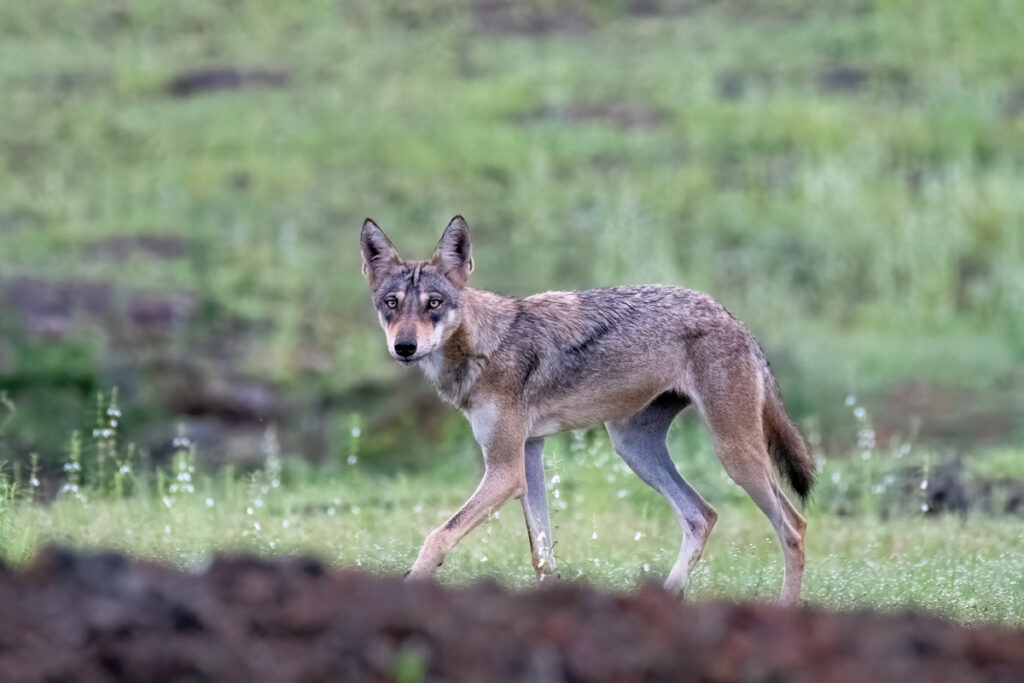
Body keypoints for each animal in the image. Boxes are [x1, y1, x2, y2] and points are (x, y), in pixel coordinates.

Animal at [360, 215, 815, 604]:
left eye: (434, 303)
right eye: (391, 303)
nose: (404, 347)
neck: (483, 347)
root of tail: (733, 318)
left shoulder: (505, 471)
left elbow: (437, 536)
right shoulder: (529, 456)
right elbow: (541, 557)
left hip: (734, 454)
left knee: (794, 526)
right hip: (633, 448)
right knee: (702, 515)